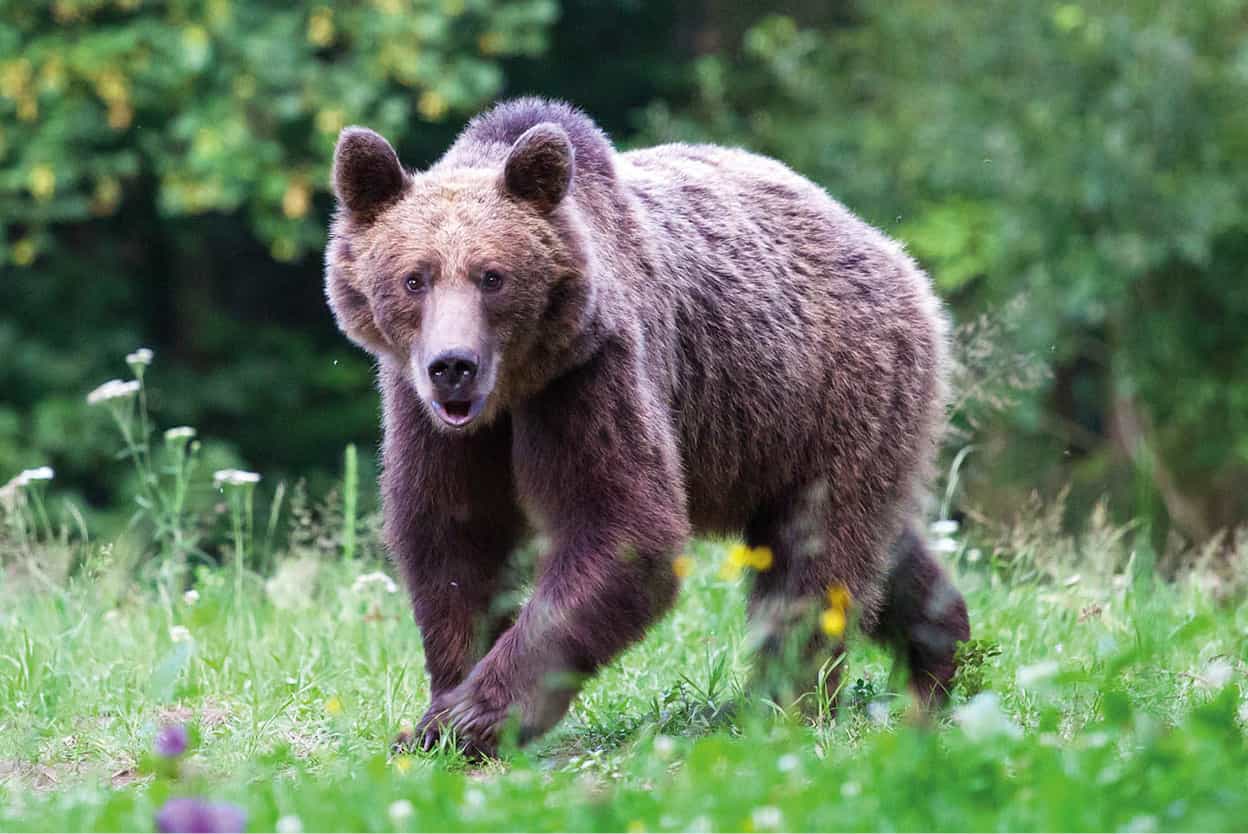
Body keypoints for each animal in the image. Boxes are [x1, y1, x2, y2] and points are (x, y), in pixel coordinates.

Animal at [321, 98, 963, 754]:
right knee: (878, 545)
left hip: (832, 388)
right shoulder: (430, 416)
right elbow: (453, 536)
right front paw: (441, 710)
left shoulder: (592, 377)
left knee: (814, 555)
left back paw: (782, 703)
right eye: (414, 278)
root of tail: (893, 253)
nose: (453, 366)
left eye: (492, 276)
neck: (514, 390)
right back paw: (939, 649)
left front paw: (474, 714)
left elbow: (622, 527)